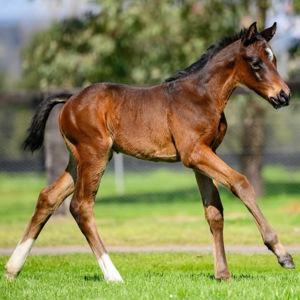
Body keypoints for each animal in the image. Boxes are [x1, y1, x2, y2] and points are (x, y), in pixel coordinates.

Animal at [5, 22, 294, 282]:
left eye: (274, 59)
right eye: (255, 62)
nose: (284, 95)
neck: (202, 96)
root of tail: (70, 100)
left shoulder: (203, 154)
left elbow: (214, 211)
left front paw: (222, 274)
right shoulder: (194, 153)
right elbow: (241, 183)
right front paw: (281, 253)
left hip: (79, 160)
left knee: (48, 197)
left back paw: (12, 269)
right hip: (94, 155)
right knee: (81, 206)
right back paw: (113, 275)